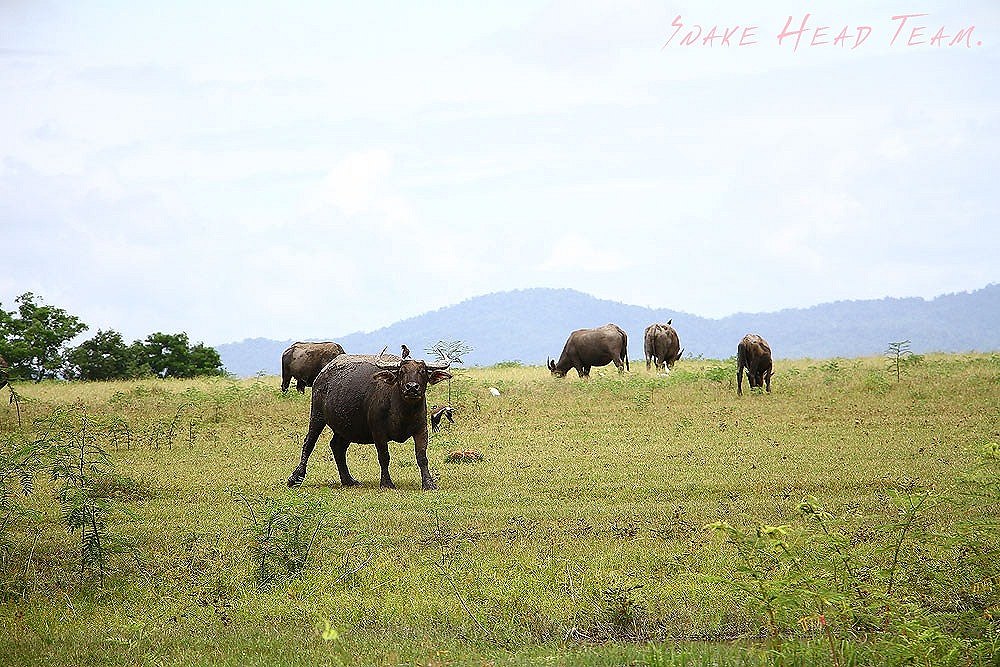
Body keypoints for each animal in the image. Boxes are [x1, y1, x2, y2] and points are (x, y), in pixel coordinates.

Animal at [286, 350, 450, 490]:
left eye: (422, 371)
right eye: (401, 372)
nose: (412, 388)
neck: (403, 411)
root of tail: (321, 376)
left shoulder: (421, 430)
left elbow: (422, 457)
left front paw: (429, 483)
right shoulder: (378, 432)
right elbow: (384, 457)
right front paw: (387, 483)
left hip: (346, 427)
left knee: (337, 446)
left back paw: (348, 480)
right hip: (317, 415)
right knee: (309, 443)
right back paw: (295, 478)